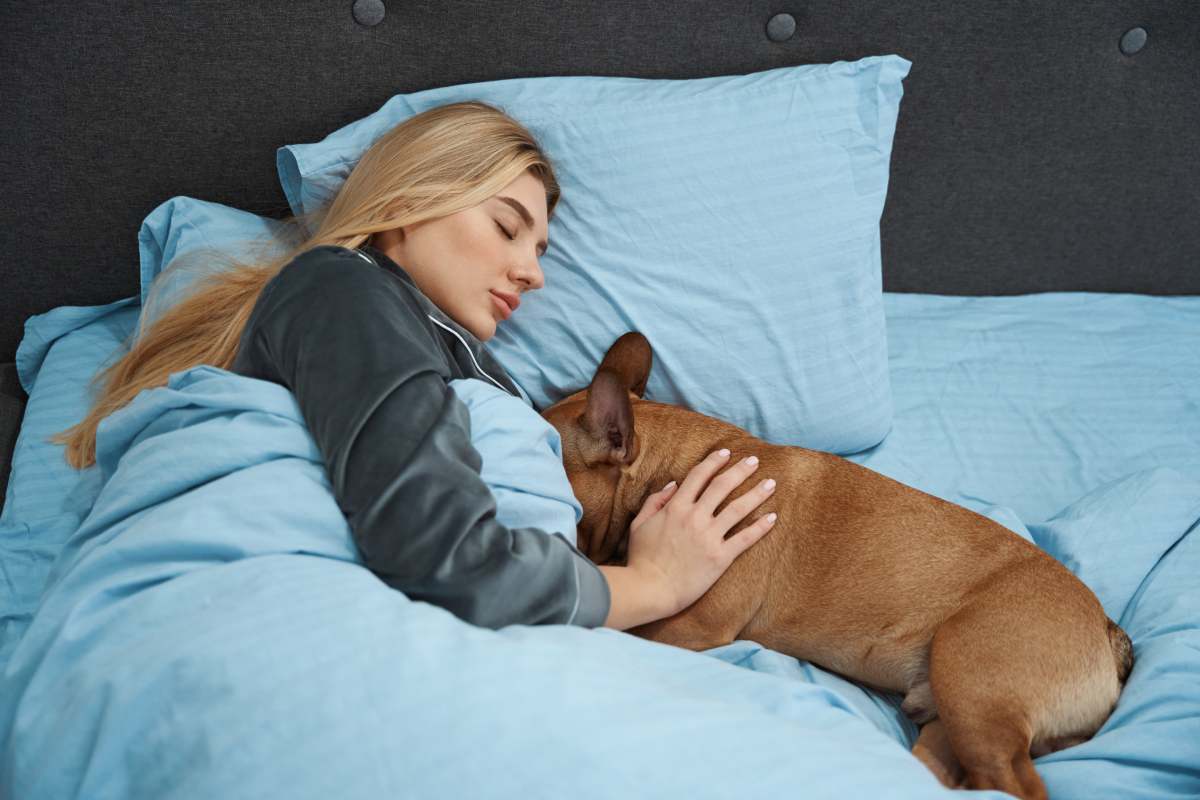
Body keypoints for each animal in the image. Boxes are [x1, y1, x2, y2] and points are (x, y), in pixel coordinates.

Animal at [544, 331, 1132, 800]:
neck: (674, 466)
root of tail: (1106, 631)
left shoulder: (693, 625)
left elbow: (631, 630)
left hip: (976, 682)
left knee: (1016, 784)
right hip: (954, 714)